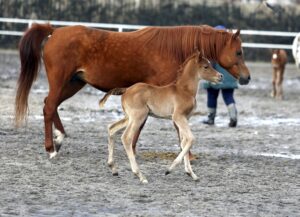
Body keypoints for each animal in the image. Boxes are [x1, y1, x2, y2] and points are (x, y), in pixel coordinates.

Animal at [14, 23, 251, 158]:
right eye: (238, 52)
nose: (247, 77)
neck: (172, 49)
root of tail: (55, 31)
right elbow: (172, 125)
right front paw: (188, 154)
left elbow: (143, 123)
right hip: (61, 81)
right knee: (49, 107)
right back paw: (51, 147)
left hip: (73, 83)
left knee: (50, 105)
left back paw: (60, 138)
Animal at [99, 52, 221, 183]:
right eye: (206, 66)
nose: (220, 76)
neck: (184, 90)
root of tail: (126, 90)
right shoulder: (178, 117)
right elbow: (191, 139)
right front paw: (169, 170)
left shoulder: (185, 118)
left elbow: (184, 142)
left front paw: (191, 174)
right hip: (138, 117)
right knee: (126, 137)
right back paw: (140, 175)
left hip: (129, 117)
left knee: (112, 128)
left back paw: (113, 168)